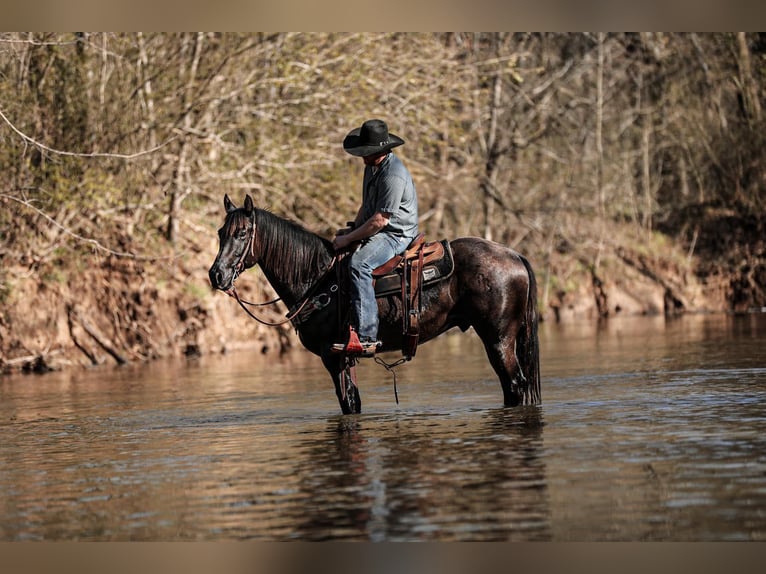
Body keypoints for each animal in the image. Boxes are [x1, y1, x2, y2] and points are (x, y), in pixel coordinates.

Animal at [210, 196, 544, 416]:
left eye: (242, 233)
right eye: (220, 233)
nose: (217, 275)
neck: (316, 278)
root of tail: (514, 255)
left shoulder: (332, 357)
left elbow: (348, 404)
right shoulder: (345, 357)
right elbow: (354, 401)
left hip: (498, 339)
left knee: (515, 385)